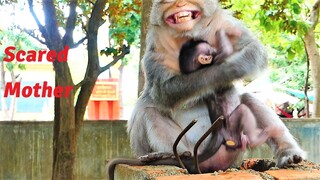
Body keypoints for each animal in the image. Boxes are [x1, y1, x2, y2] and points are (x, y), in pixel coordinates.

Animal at [127, 0, 304, 174]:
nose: (179, 4)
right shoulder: (156, 42)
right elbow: (162, 91)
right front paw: (227, 69)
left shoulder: (222, 22)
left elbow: (253, 48)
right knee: (147, 112)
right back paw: (171, 156)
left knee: (247, 99)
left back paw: (288, 153)